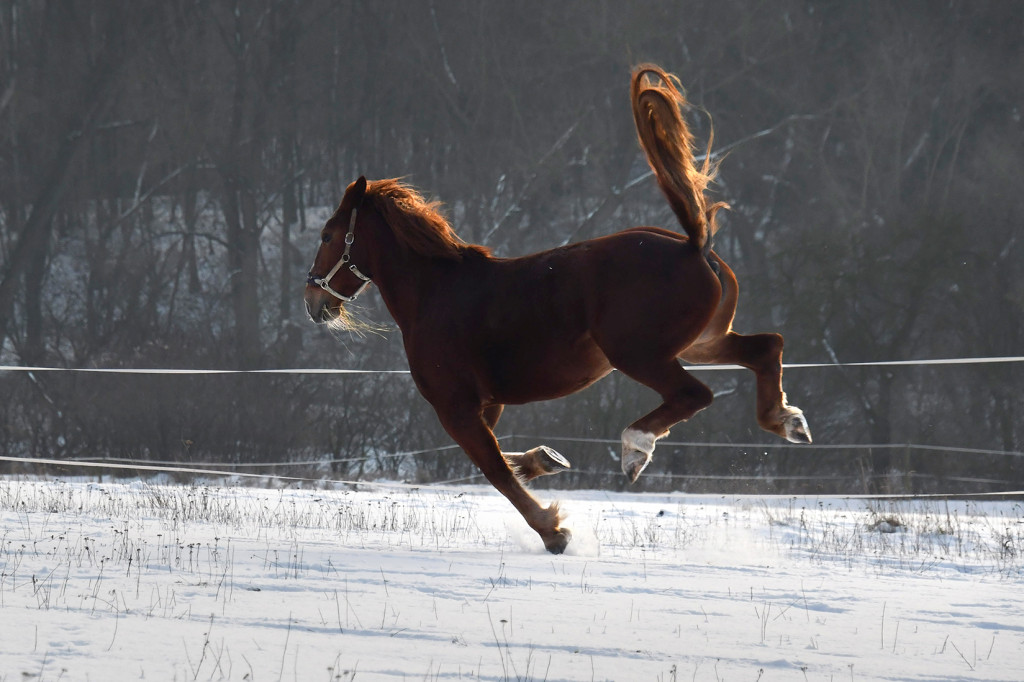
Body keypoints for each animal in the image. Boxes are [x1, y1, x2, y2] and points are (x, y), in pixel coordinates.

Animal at [303, 63, 806, 552]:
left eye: (327, 235)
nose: (313, 301)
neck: (434, 294)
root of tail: (693, 245)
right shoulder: (488, 404)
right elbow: (501, 462)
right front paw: (546, 461)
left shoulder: (456, 406)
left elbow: (494, 470)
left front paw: (553, 530)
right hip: (701, 343)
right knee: (766, 347)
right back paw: (787, 422)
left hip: (639, 354)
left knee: (694, 394)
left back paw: (635, 451)